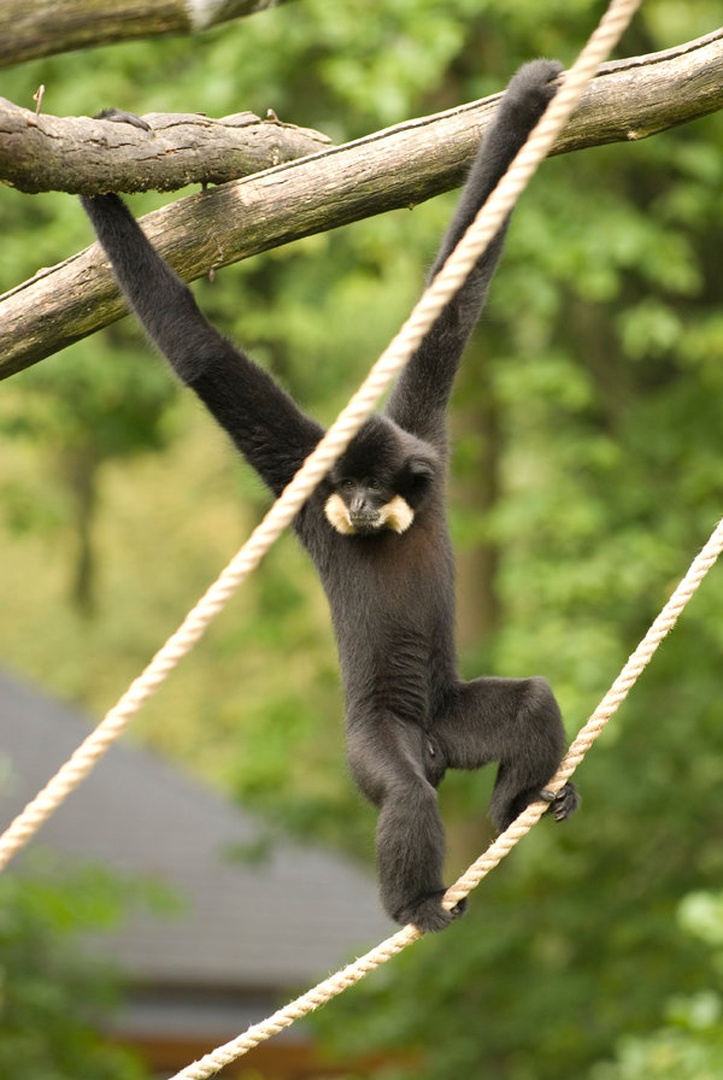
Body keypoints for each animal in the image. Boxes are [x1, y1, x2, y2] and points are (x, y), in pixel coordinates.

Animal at [80, 59, 578, 933]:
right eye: (346, 486)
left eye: (378, 486)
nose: (364, 506)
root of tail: (432, 744)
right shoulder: (304, 476)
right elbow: (201, 356)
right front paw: (105, 186)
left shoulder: (425, 445)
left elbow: (453, 299)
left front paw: (526, 97)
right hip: (372, 742)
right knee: (406, 796)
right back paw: (417, 900)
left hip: (452, 712)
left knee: (527, 703)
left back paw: (516, 803)